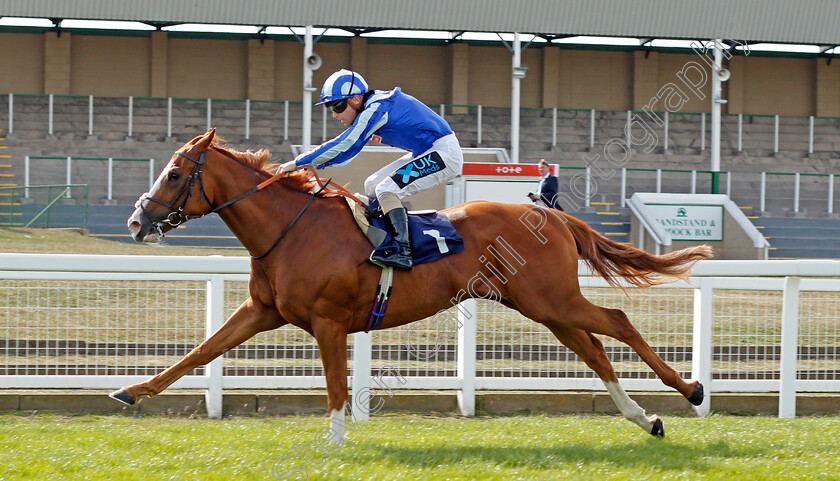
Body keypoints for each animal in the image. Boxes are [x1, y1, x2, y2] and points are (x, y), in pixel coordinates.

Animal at [111, 127, 712, 438]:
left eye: (173, 173)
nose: (137, 222)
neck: (293, 228)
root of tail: (550, 213)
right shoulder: (263, 311)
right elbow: (201, 351)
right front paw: (132, 391)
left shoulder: (329, 322)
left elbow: (336, 390)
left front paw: (335, 446)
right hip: (543, 305)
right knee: (593, 348)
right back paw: (644, 417)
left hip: (552, 298)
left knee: (617, 322)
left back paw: (691, 390)